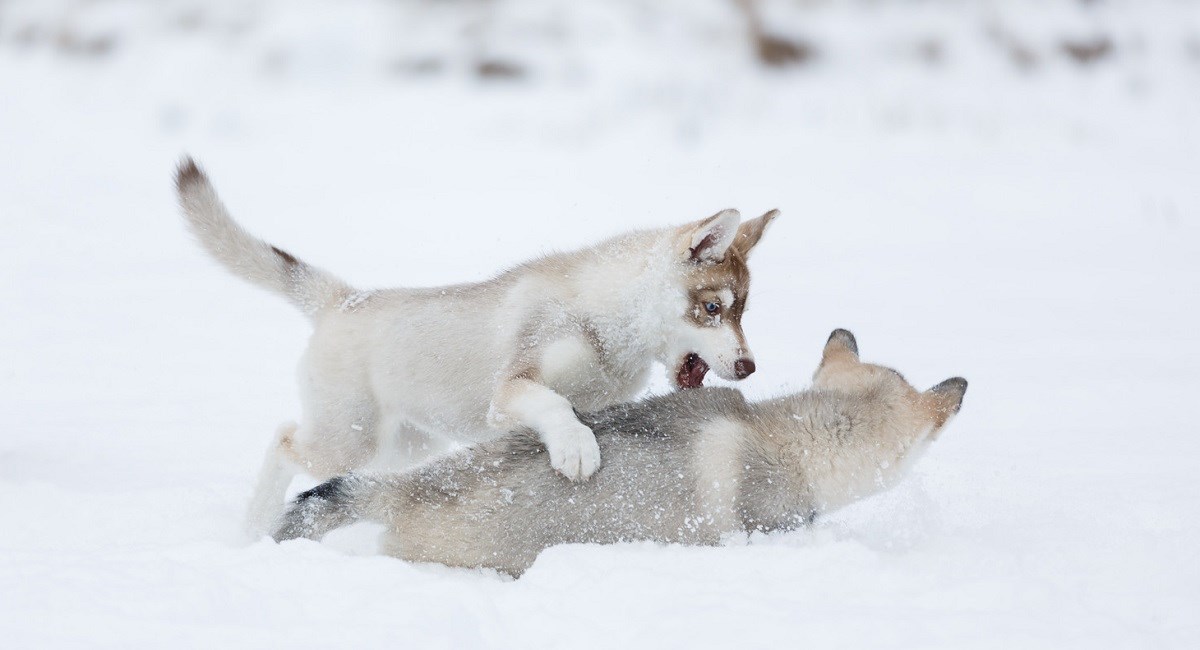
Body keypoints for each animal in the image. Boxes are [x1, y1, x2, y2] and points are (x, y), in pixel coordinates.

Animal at [175, 159, 777, 534]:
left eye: (742, 311)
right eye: (714, 307)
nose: (749, 366)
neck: (603, 321)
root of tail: (345, 299)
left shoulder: (602, 405)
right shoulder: (510, 389)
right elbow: (553, 404)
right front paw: (574, 449)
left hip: (404, 446)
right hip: (348, 439)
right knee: (282, 440)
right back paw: (254, 527)